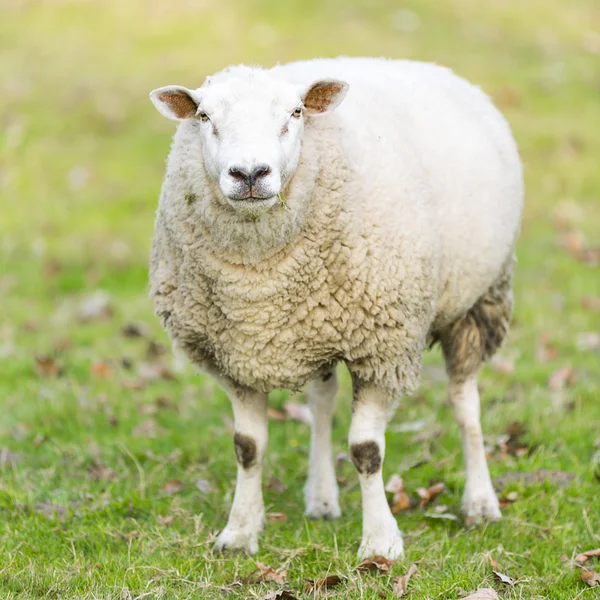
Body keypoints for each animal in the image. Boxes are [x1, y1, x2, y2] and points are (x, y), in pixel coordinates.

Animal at [148, 58, 524, 560]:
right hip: (318, 330)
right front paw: (240, 532)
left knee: (466, 406)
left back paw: (481, 503)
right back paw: (322, 498)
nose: (249, 174)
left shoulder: (385, 348)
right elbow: (247, 447)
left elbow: (366, 450)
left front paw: (381, 542)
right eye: (205, 117)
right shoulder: (238, 355)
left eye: (296, 113)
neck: (258, 283)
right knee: (322, 404)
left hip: (477, 301)